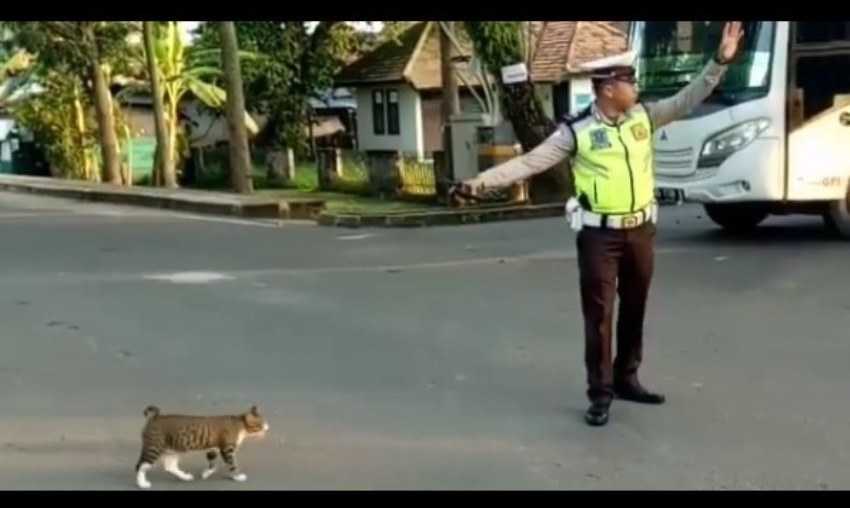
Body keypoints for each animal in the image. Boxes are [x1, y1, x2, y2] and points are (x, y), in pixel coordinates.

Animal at [134, 402, 266, 490]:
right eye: (262, 423)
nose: (267, 427)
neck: (239, 424)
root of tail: (156, 416)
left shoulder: (212, 448)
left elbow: (212, 464)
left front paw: (206, 473)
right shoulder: (227, 449)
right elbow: (232, 464)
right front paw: (237, 476)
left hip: (172, 450)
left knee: (169, 467)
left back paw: (185, 477)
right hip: (154, 448)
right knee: (140, 465)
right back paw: (142, 483)